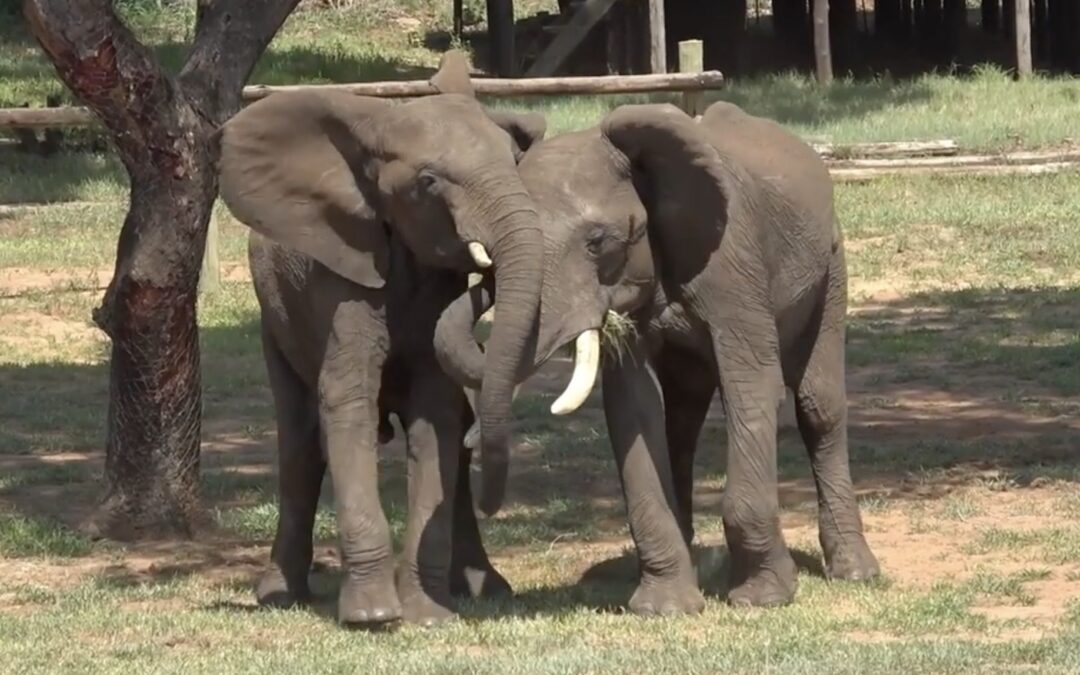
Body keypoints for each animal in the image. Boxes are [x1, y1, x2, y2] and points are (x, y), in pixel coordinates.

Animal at [216, 52, 548, 626]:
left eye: (514, 159)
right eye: (429, 181)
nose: (487, 272)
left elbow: (436, 417)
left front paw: (428, 615)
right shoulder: (340, 276)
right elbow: (346, 401)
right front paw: (372, 617)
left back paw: (486, 589)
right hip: (274, 321)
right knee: (300, 443)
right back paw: (279, 594)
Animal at [434, 102, 881, 613]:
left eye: (598, 242)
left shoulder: (733, 263)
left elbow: (751, 388)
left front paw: (763, 597)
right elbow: (634, 408)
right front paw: (665, 607)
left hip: (831, 265)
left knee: (818, 406)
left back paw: (856, 571)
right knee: (682, 422)